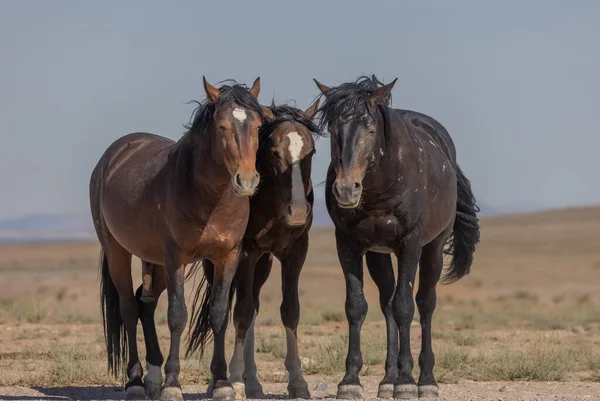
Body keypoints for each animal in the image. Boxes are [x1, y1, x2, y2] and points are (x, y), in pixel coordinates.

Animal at [89, 77, 274, 400]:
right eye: (222, 126)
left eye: (257, 126)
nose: (247, 180)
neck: (209, 197)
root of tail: (113, 156)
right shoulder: (176, 256)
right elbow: (177, 315)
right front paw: (173, 384)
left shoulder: (228, 256)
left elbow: (218, 314)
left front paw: (222, 383)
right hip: (118, 252)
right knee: (128, 306)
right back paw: (136, 381)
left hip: (155, 262)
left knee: (145, 304)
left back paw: (152, 376)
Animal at [185, 99, 322, 396]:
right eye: (274, 151)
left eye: (311, 151)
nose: (298, 210)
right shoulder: (246, 253)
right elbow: (241, 313)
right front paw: (235, 381)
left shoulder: (295, 251)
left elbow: (289, 310)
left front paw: (298, 382)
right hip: (219, 263)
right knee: (234, 308)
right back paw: (219, 381)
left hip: (263, 263)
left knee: (255, 305)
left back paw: (255, 383)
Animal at [312, 76, 480, 398]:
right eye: (334, 130)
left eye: (370, 129)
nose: (346, 190)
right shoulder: (348, 244)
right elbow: (356, 306)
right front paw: (350, 380)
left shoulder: (410, 243)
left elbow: (406, 305)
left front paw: (407, 382)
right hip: (379, 254)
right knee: (387, 304)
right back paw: (388, 379)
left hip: (433, 248)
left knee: (425, 303)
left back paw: (425, 380)